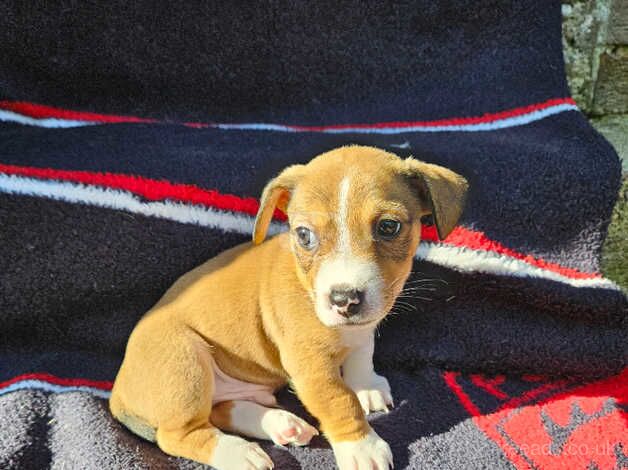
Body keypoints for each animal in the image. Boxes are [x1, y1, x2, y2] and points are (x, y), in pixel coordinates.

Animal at [110, 145, 468, 468]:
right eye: (305, 235)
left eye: (389, 227)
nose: (344, 299)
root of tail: (117, 392)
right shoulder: (311, 367)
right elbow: (340, 401)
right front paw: (361, 446)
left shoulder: (362, 330)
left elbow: (362, 354)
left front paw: (366, 385)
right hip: (185, 360)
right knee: (179, 435)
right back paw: (239, 454)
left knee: (221, 410)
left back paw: (282, 425)